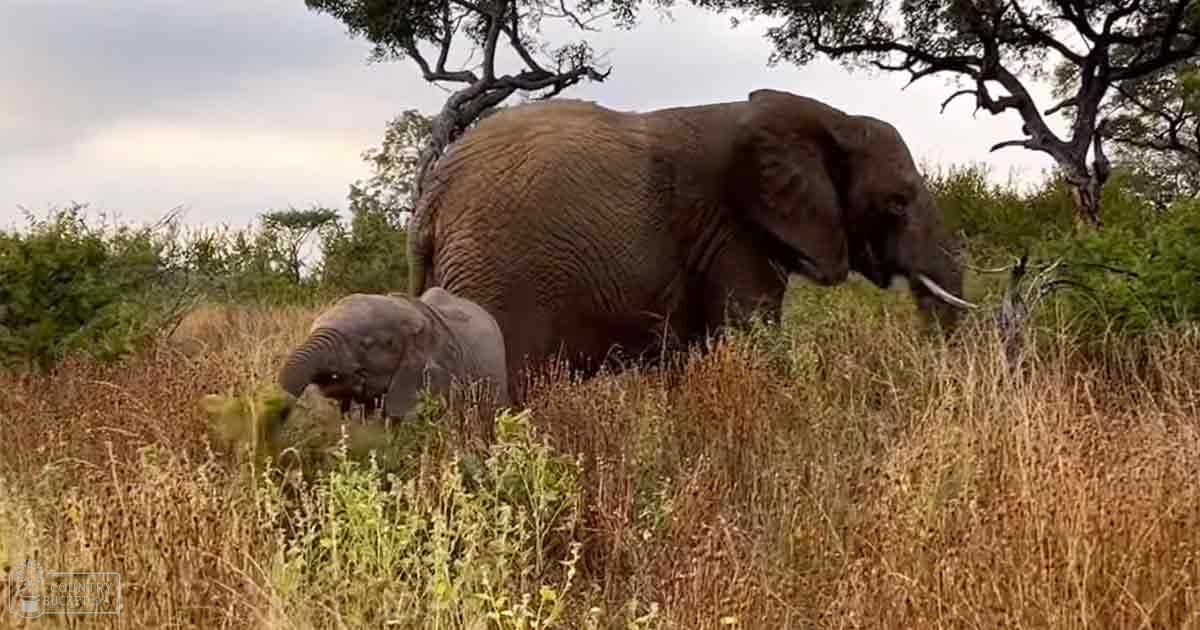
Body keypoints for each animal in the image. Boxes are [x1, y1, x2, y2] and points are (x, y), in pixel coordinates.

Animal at [407, 88, 976, 400]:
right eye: (897, 203)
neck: (827, 116)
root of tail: (433, 195)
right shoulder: (733, 231)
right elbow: (749, 338)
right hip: (494, 275)